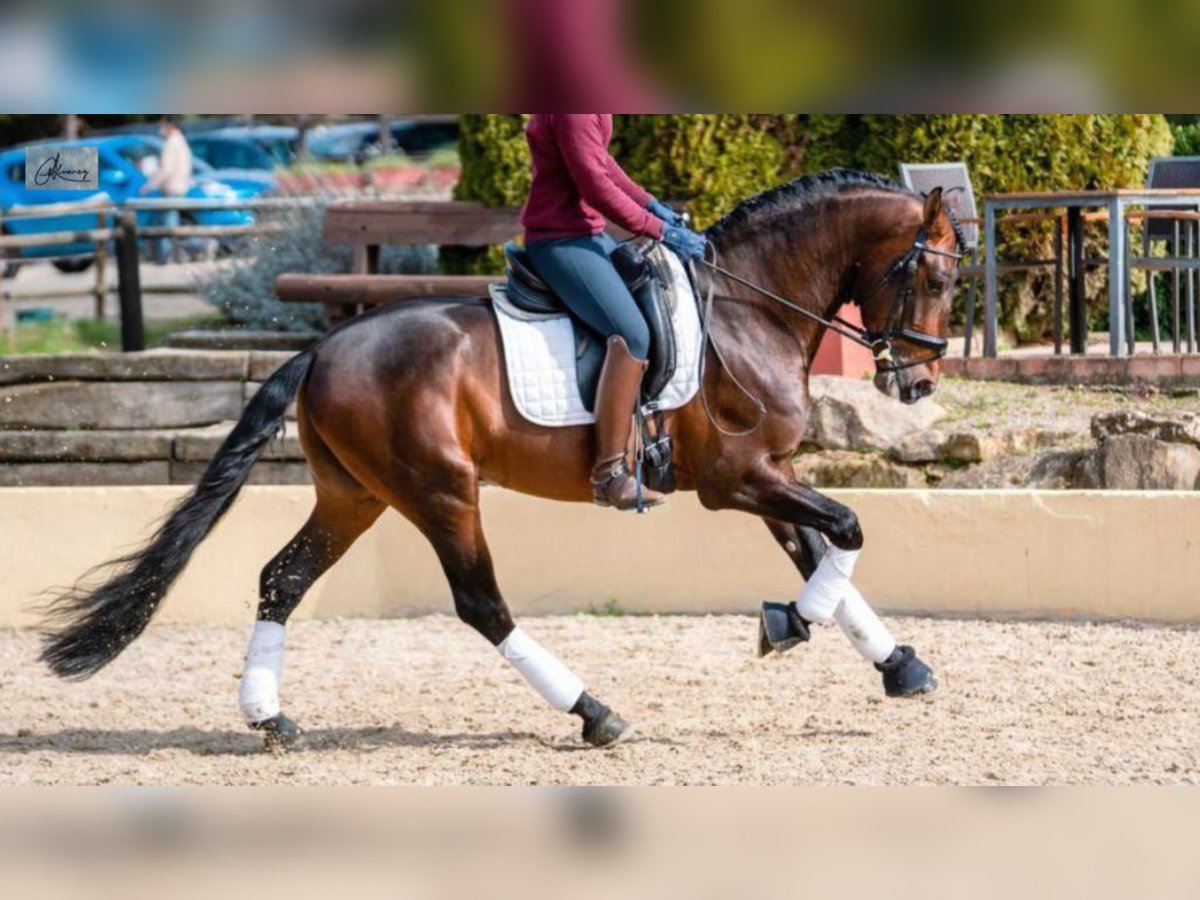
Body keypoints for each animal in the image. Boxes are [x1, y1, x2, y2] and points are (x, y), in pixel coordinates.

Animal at [39, 170, 964, 753]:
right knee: (481, 604)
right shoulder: (736, 480)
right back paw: (593, 713)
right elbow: (846, 531)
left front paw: (896, 663)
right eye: (936, 281)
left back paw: (270, 718)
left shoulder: (767, 474)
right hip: (441, 493)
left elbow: (823, 553)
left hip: (355, 496)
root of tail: (324, 345)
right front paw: (789, 625)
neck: (749, 308)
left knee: (282, 579)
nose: (917, 382)